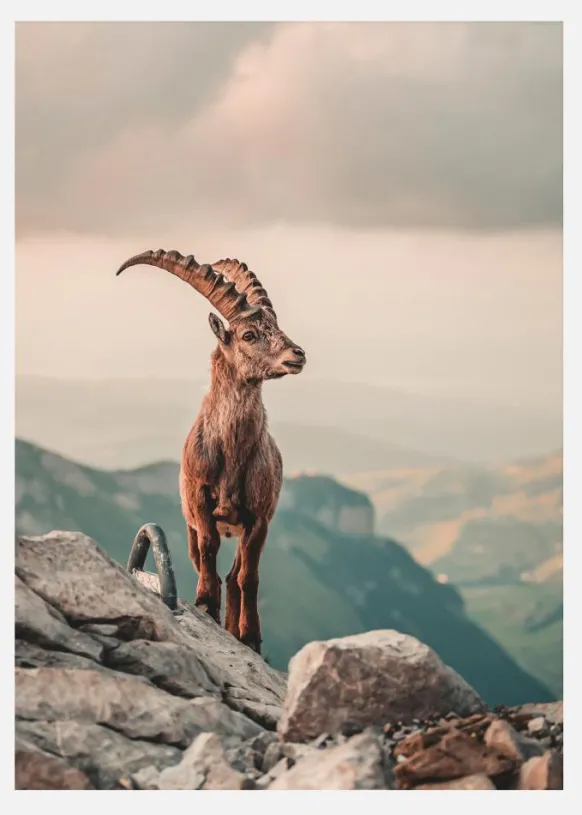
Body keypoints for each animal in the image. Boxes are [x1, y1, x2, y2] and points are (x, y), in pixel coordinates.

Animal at [115, 249, 306, 653]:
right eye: (249, 334)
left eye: (276, 327)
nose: (297, 354)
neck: (231, 453)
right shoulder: (200, 503)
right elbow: (207, 552)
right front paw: (205, 603)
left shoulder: (259, 518)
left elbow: (249, 576)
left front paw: (250, 635)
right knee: (213, 565)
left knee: (237, 575)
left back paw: (237, 628)